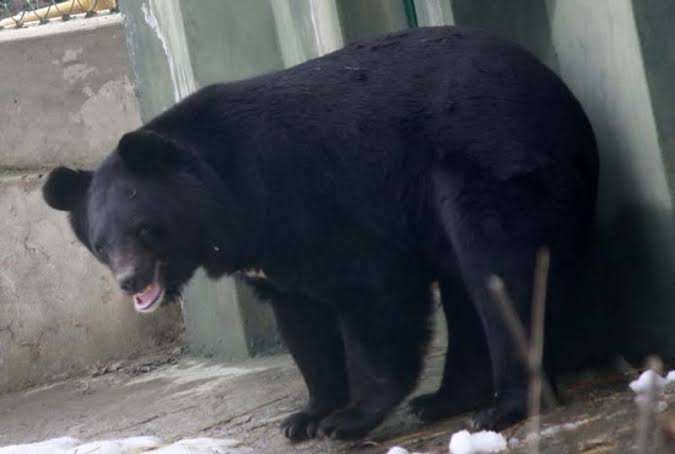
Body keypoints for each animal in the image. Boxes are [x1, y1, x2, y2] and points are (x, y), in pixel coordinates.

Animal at [42, 26, 599, 441]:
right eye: (100, 244)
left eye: (144, 229)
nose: (131, 282)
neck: (226, 201)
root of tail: (557, 89)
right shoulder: (270, 251)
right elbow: (303, 324)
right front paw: (306, 416)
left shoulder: (312, 199)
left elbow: (374, 292)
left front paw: (348, 419)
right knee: (468, 284)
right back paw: (444, 400)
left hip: (488, 163)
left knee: (498, 266)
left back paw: (504, 405)